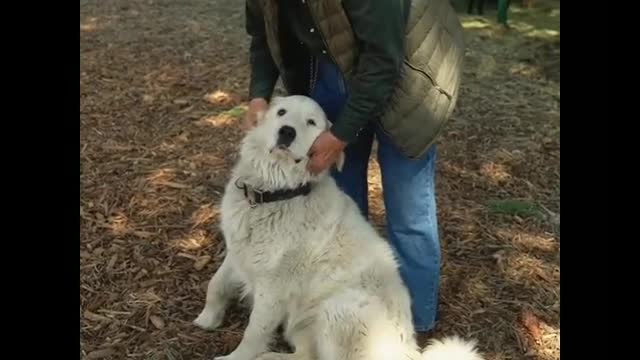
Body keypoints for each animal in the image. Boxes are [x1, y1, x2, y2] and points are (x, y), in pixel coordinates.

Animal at [195, 95, 484, 360]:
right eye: (281, 112)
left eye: (311, 122)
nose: (287, 131)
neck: (276, 193)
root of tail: (407, 352)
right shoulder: (238, 252)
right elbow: (215, 284)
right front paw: (207, 318)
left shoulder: (274, 285)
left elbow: (254, 330)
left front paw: (235, 357)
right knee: (305, 355)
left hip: (338, 308)